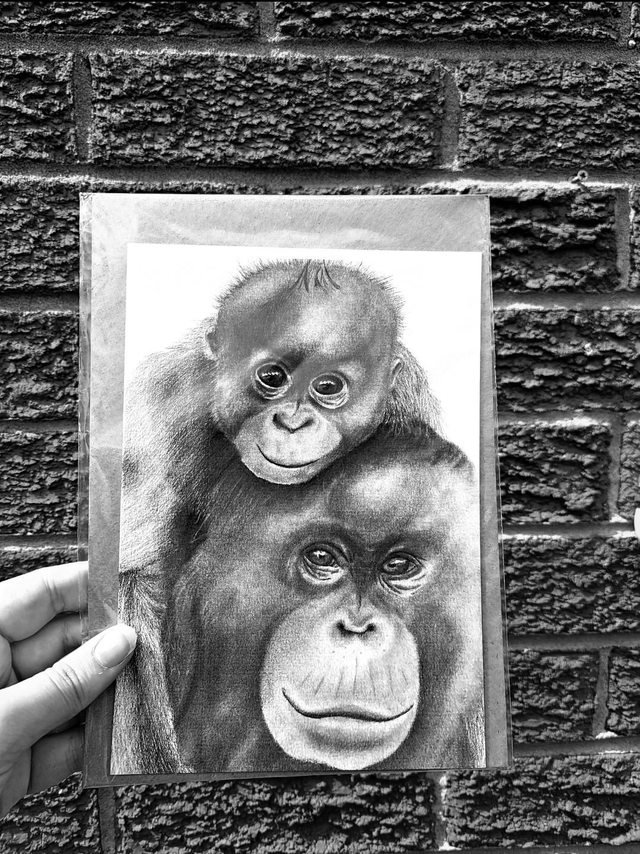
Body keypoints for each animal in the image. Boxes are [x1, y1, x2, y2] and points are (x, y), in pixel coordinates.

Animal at [111, 259, 443, 773]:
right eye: (272, 377)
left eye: (328, 387)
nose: (291, 421)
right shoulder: (158, 410)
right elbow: (138, 579)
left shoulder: (411, 406)